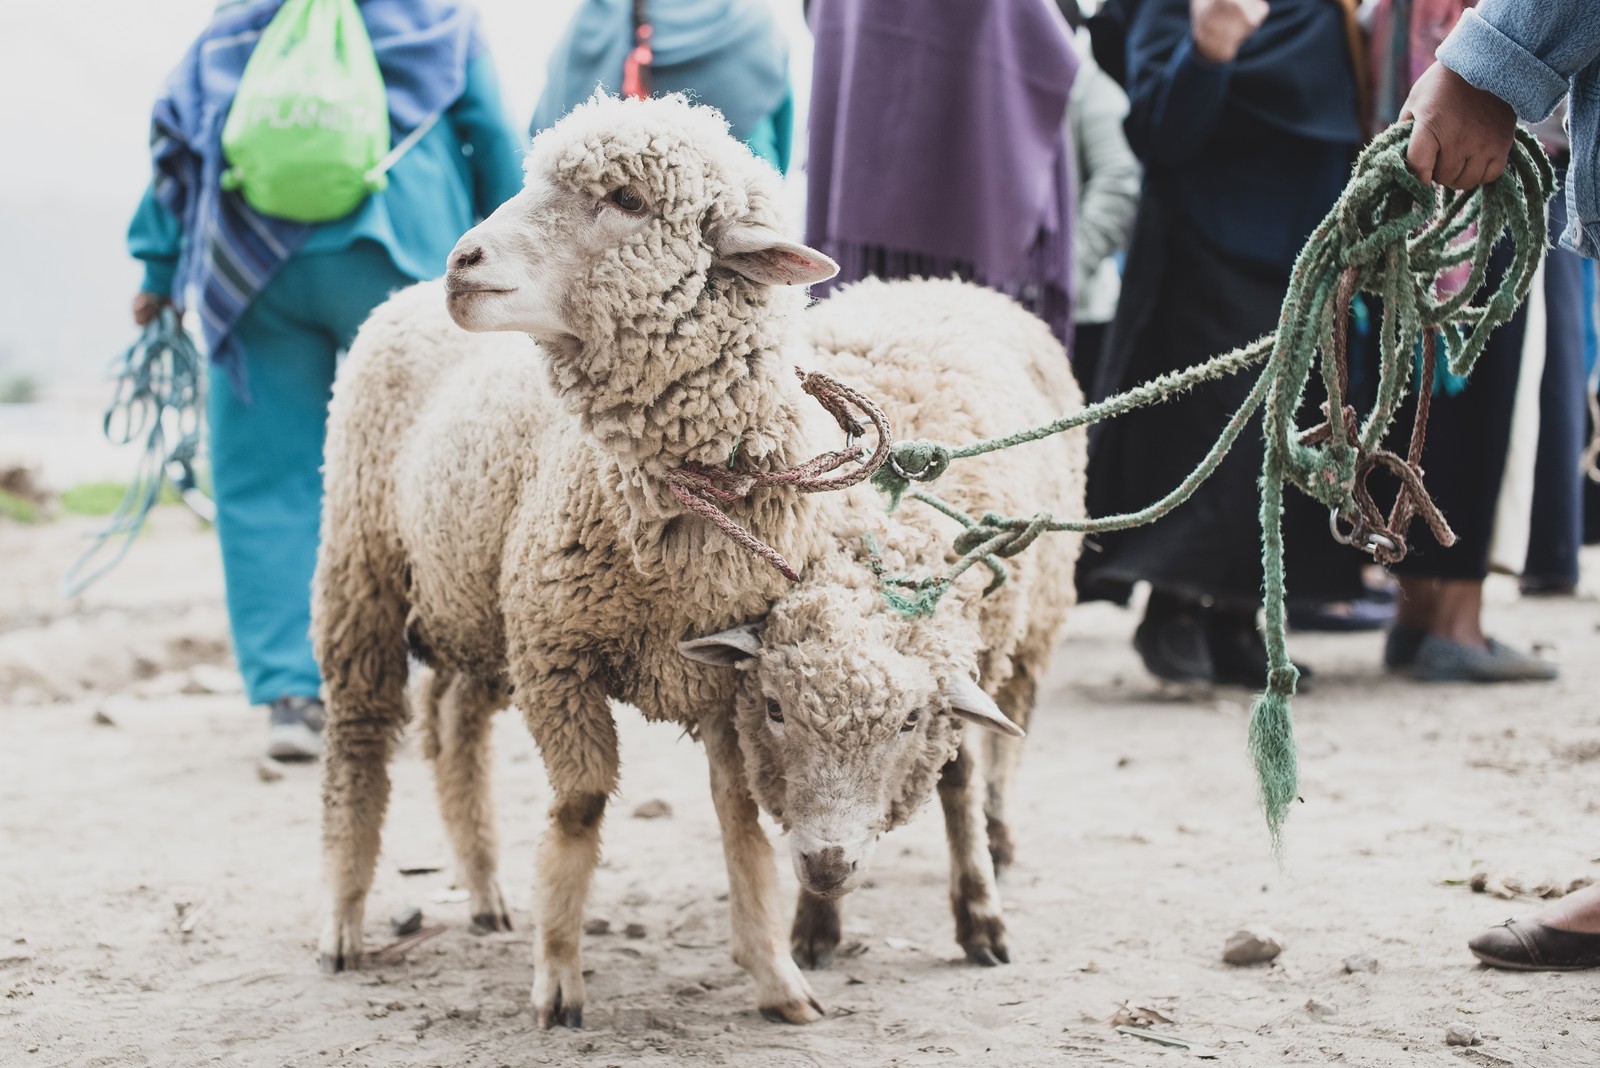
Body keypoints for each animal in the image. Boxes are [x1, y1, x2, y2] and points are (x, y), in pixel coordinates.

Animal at [312, 95, 1081, 1029]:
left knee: (455, 722)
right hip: (363, 569)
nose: (461, 262)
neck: (658, 526)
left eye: (627, 200)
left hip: (475, 599)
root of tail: (400, 302)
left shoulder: (722, 678)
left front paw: (776, 975)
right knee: (358, 738)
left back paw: (487, 889)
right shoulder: (559, 658)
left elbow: (741, 821)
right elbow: (578, 810)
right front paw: (558, 975)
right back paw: (345, 917)